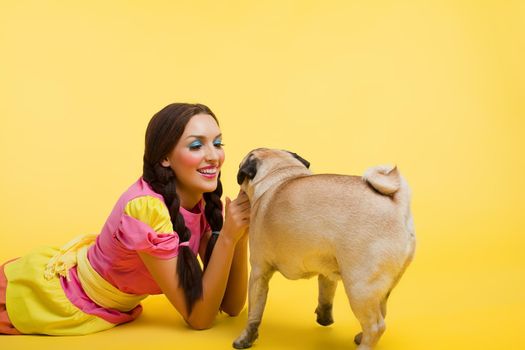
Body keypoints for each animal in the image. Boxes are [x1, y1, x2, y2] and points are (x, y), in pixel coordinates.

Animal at [232, 148, 414, 350]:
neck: (280, 175)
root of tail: (398, 205)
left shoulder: (258, 272)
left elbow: (254, 314)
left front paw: (245, 338)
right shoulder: (327, 271)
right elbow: (325, 293)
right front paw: (324, 318)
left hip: (359, 288)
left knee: (376, 326)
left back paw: (364, 345)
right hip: (380, 288)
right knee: (381, 312)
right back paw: (361, 336)